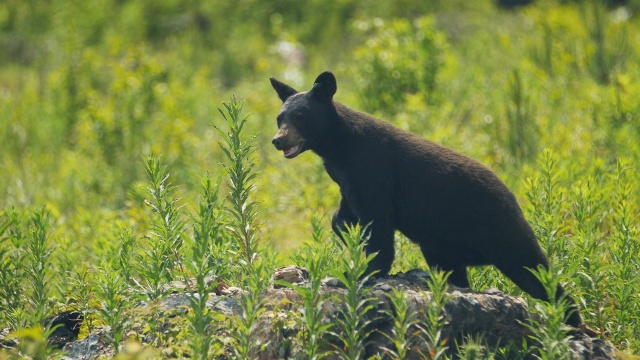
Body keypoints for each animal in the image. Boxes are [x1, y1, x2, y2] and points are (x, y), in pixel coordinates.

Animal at [268, 69, 588, 330]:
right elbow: (345, 212)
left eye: (300, 117)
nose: (278, 140)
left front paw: (363, 272)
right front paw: (346, 229)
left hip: (501, 229)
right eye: (279, 118)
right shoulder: (346, 179)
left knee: (533, 269)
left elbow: (379, 223)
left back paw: (571, 321)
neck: (339, 147)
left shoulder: (373, 168)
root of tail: (511, 195)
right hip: (442, 247)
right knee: (456, 270)